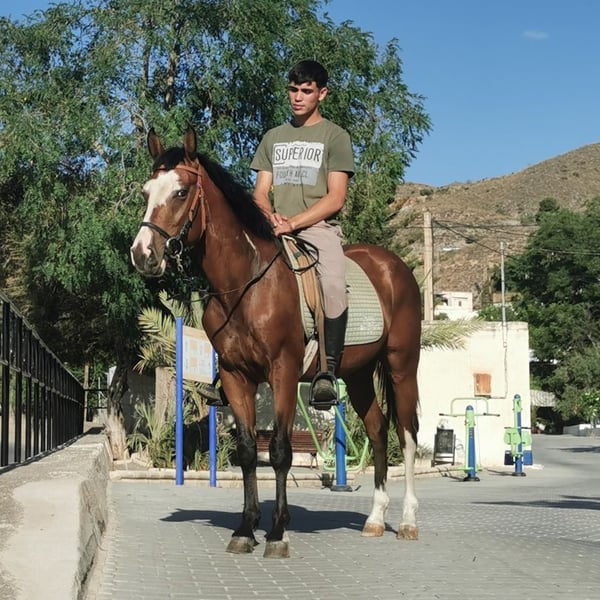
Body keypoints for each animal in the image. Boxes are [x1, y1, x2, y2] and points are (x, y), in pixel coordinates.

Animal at [130, 127, 422, 559]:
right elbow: (249, 452)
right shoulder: (236, 377)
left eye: (181, 192)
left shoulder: (283, 372)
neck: (247, 283)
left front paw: (277, 533)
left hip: (402, 366)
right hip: (358, 374)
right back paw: (373, 519)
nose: (142, 254)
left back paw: (407, 521)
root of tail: (392, 266)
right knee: (377, 430)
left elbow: (281, 451)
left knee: (407, 434)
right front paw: (245, 528)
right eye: (147, 191)